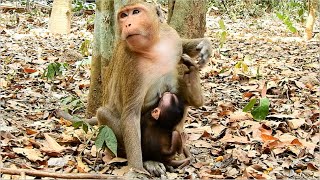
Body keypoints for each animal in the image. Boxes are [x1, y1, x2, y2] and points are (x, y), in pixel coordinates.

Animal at [97, 0, 212, 177]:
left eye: (136, 12)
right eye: (123, 15)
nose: (127, 24)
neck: (152, 48)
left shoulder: (170, 36)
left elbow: (181, 43)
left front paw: (204, 45)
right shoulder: (133, 65)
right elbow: (130, 115)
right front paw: (137, 170)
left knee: (186, 98)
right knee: (102, 113)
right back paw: (149, 160)